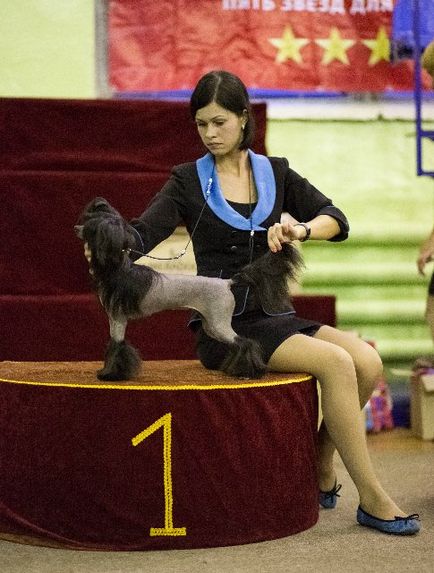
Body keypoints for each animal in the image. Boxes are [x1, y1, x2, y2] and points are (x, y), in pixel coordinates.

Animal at [74, 197, 304, 380]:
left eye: (91, 227)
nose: (76, 228)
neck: (119, 268)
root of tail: (228, 282)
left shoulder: (119, 319)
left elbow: (117, 346)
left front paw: (110, 374)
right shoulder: (114, 320)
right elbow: (114, 345)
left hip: (218, 322)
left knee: (244, 342)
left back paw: (248, 372)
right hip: (211, 324)